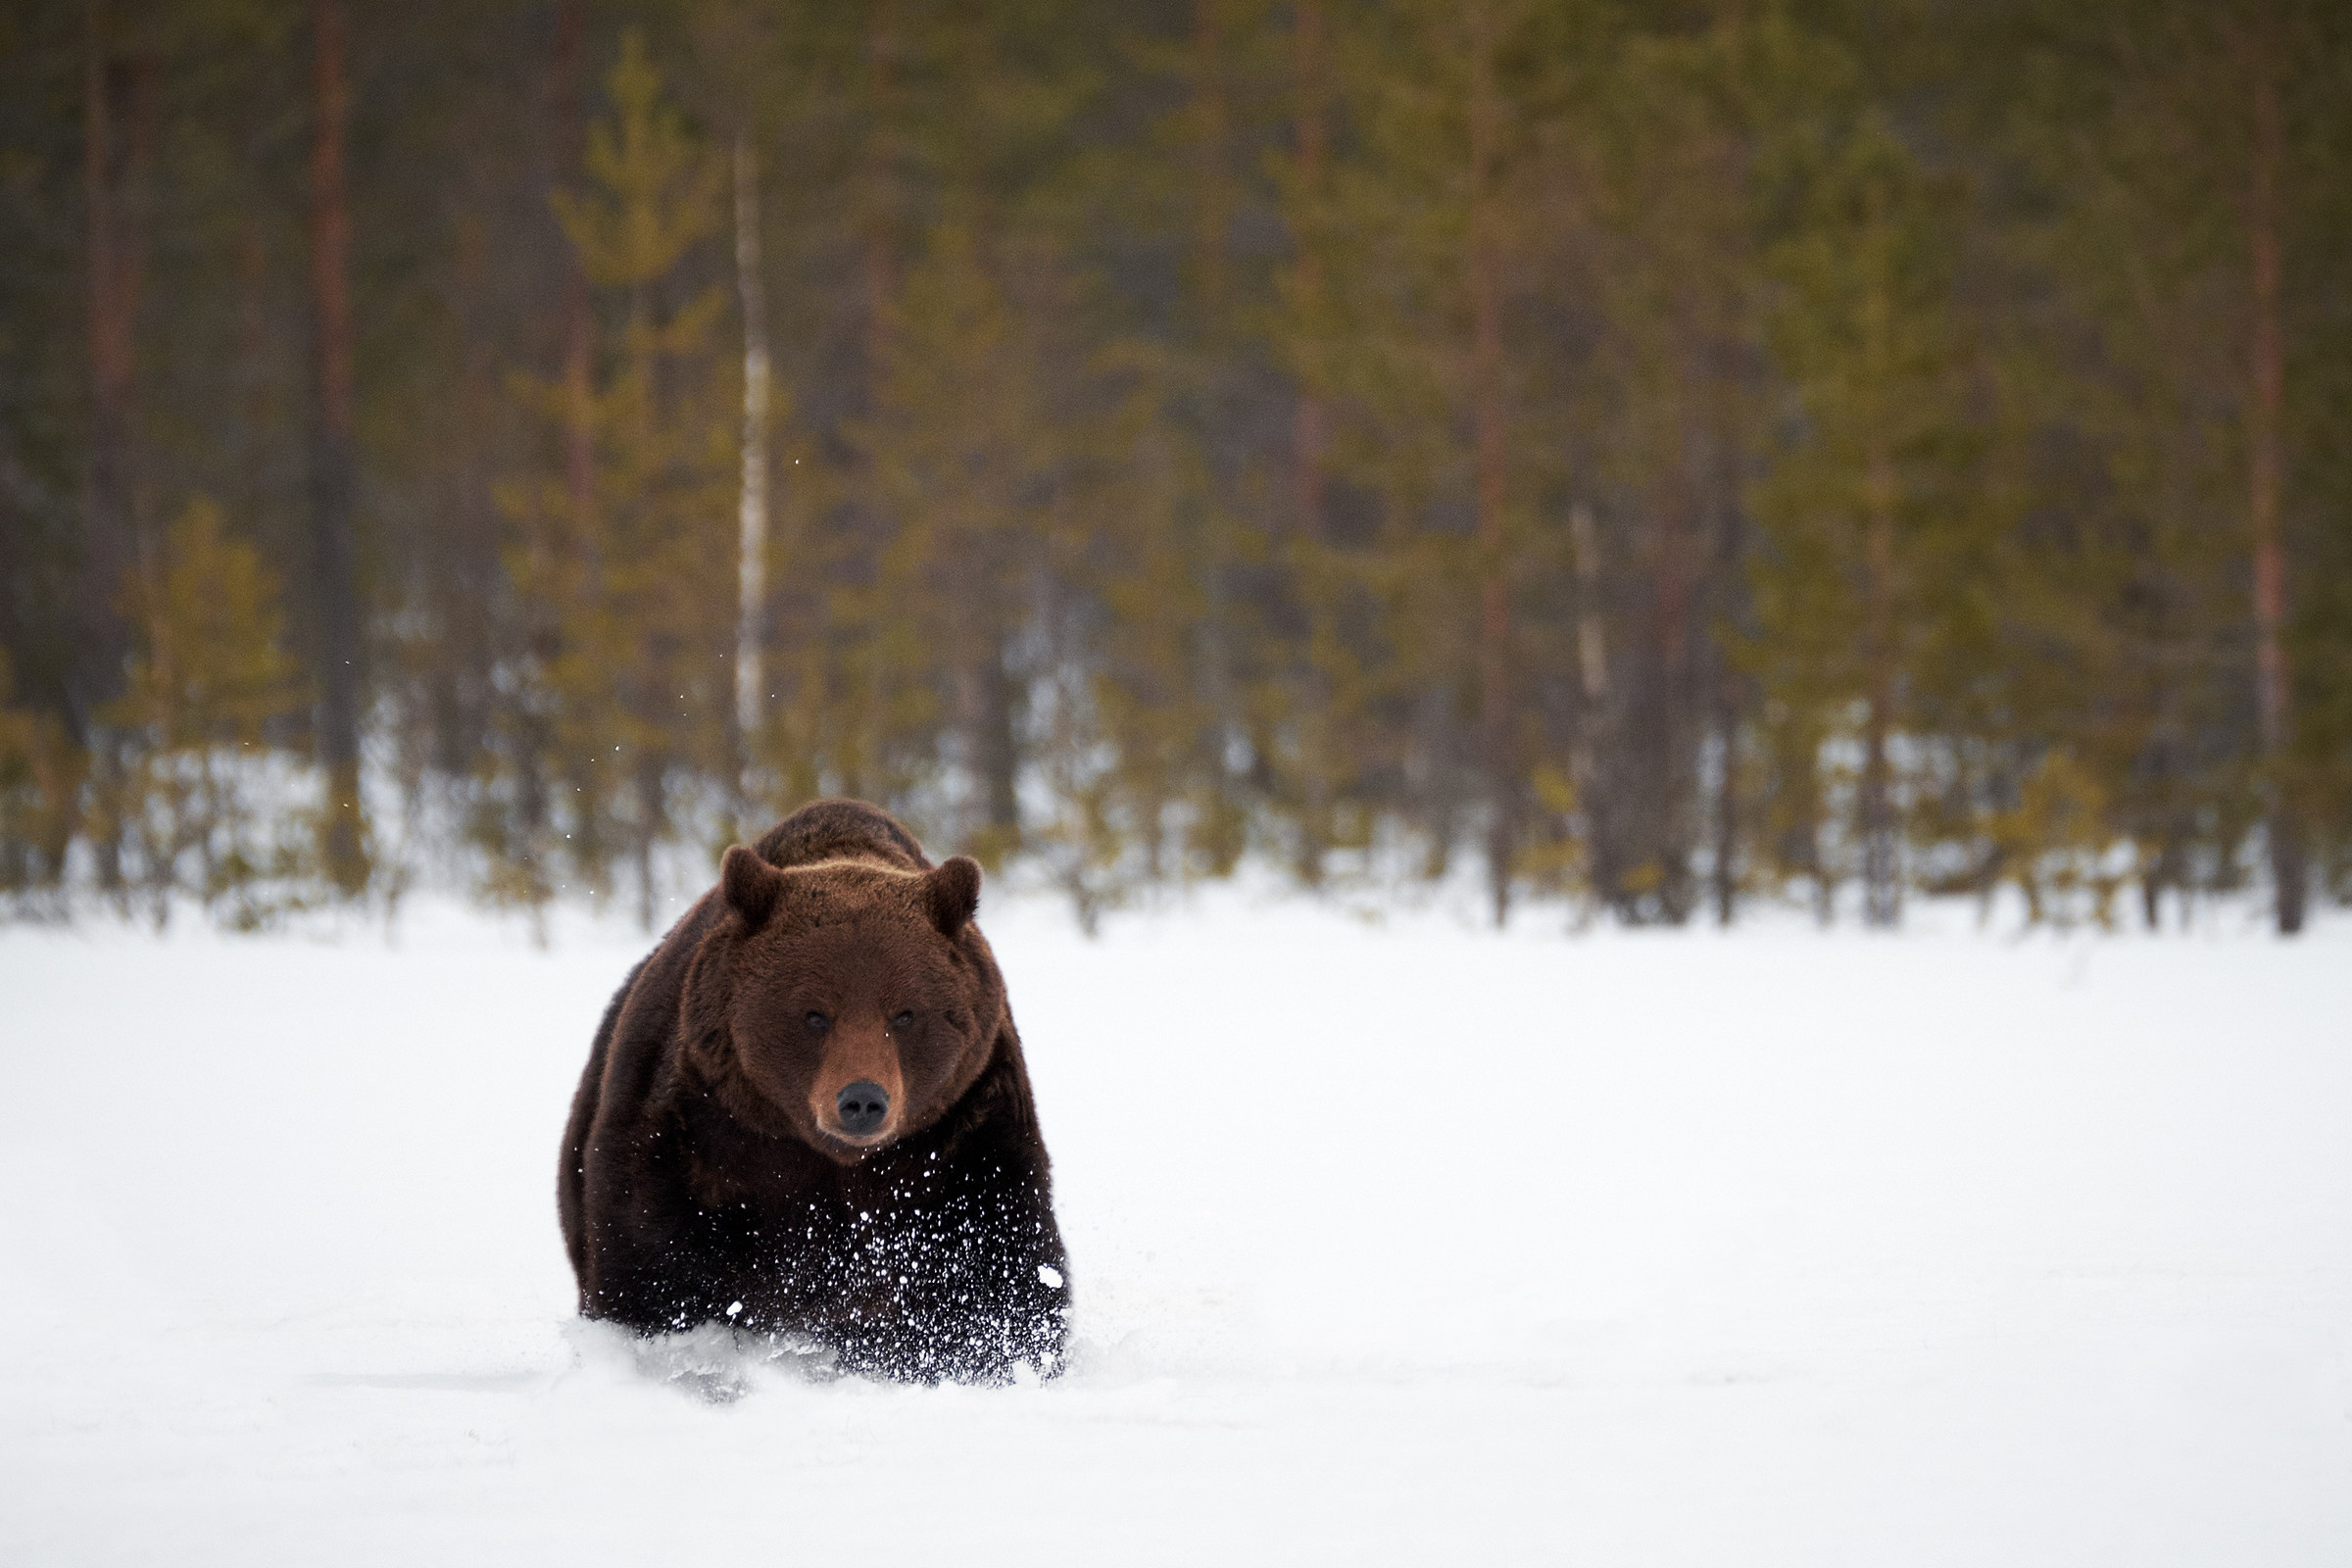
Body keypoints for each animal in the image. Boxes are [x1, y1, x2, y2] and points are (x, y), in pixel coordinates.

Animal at [557, 798, 1070, 1383]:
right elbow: (648, 1262)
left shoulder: (962, 1135)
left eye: (905, 1013)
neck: (828, 1160)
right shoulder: (697, 1129)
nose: (862, 1100)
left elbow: (1002, 1270)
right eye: (814, 1014)